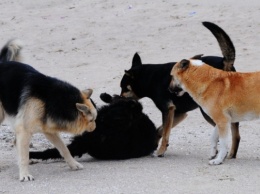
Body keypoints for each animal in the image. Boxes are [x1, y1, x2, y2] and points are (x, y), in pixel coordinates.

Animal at [0, 38, 97, 181]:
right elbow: (23, 156)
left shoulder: (49, 130)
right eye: (91, 120)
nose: (95, 128)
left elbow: (64, 148)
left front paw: (73, 164)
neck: (52, 100)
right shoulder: (24, 130)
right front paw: (24, 174)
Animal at [119, 21, 240, 158]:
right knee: (235, 132)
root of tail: (224, 62)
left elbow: (165, 133)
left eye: (124, 88)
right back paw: (231, 154)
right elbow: (161, 130)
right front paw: (157, 143)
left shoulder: (167, 110)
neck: (149, 78)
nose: (119, 98)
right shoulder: (178, 113)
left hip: (207, 111)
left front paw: (160, 151)